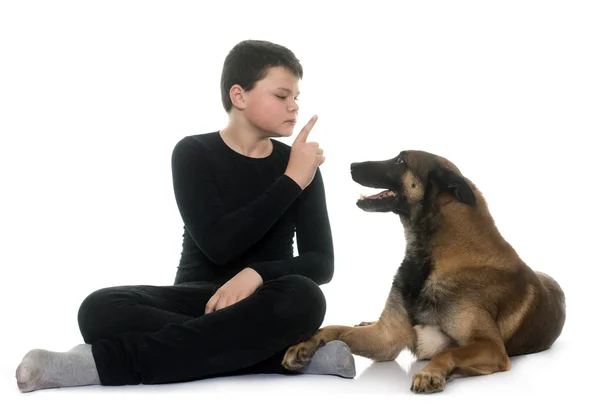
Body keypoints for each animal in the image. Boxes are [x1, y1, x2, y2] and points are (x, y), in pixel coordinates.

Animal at [284, 150, 564, 394]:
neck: (429, 259)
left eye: (400, 160)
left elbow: (449, 351)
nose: (352, 165)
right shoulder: (385, 338)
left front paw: (430, 372)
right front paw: (304, 344)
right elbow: (333, 328)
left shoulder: (491, 347)